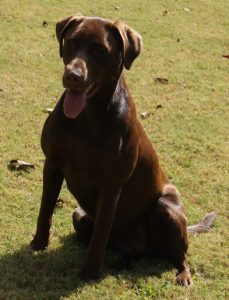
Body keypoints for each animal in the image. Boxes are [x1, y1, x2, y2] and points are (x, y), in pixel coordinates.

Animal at [30, 14, 191, 286]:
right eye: (71, 42)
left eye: (100, 50)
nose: (73, 75)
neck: (86, 119)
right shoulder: (52, 164)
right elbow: (45, 210)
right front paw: (38, 244)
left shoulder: (111, 185)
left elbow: (101, 235)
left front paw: (89, 273)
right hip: (80, 215)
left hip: (166, 209)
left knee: (180, 254)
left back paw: (183, 274)